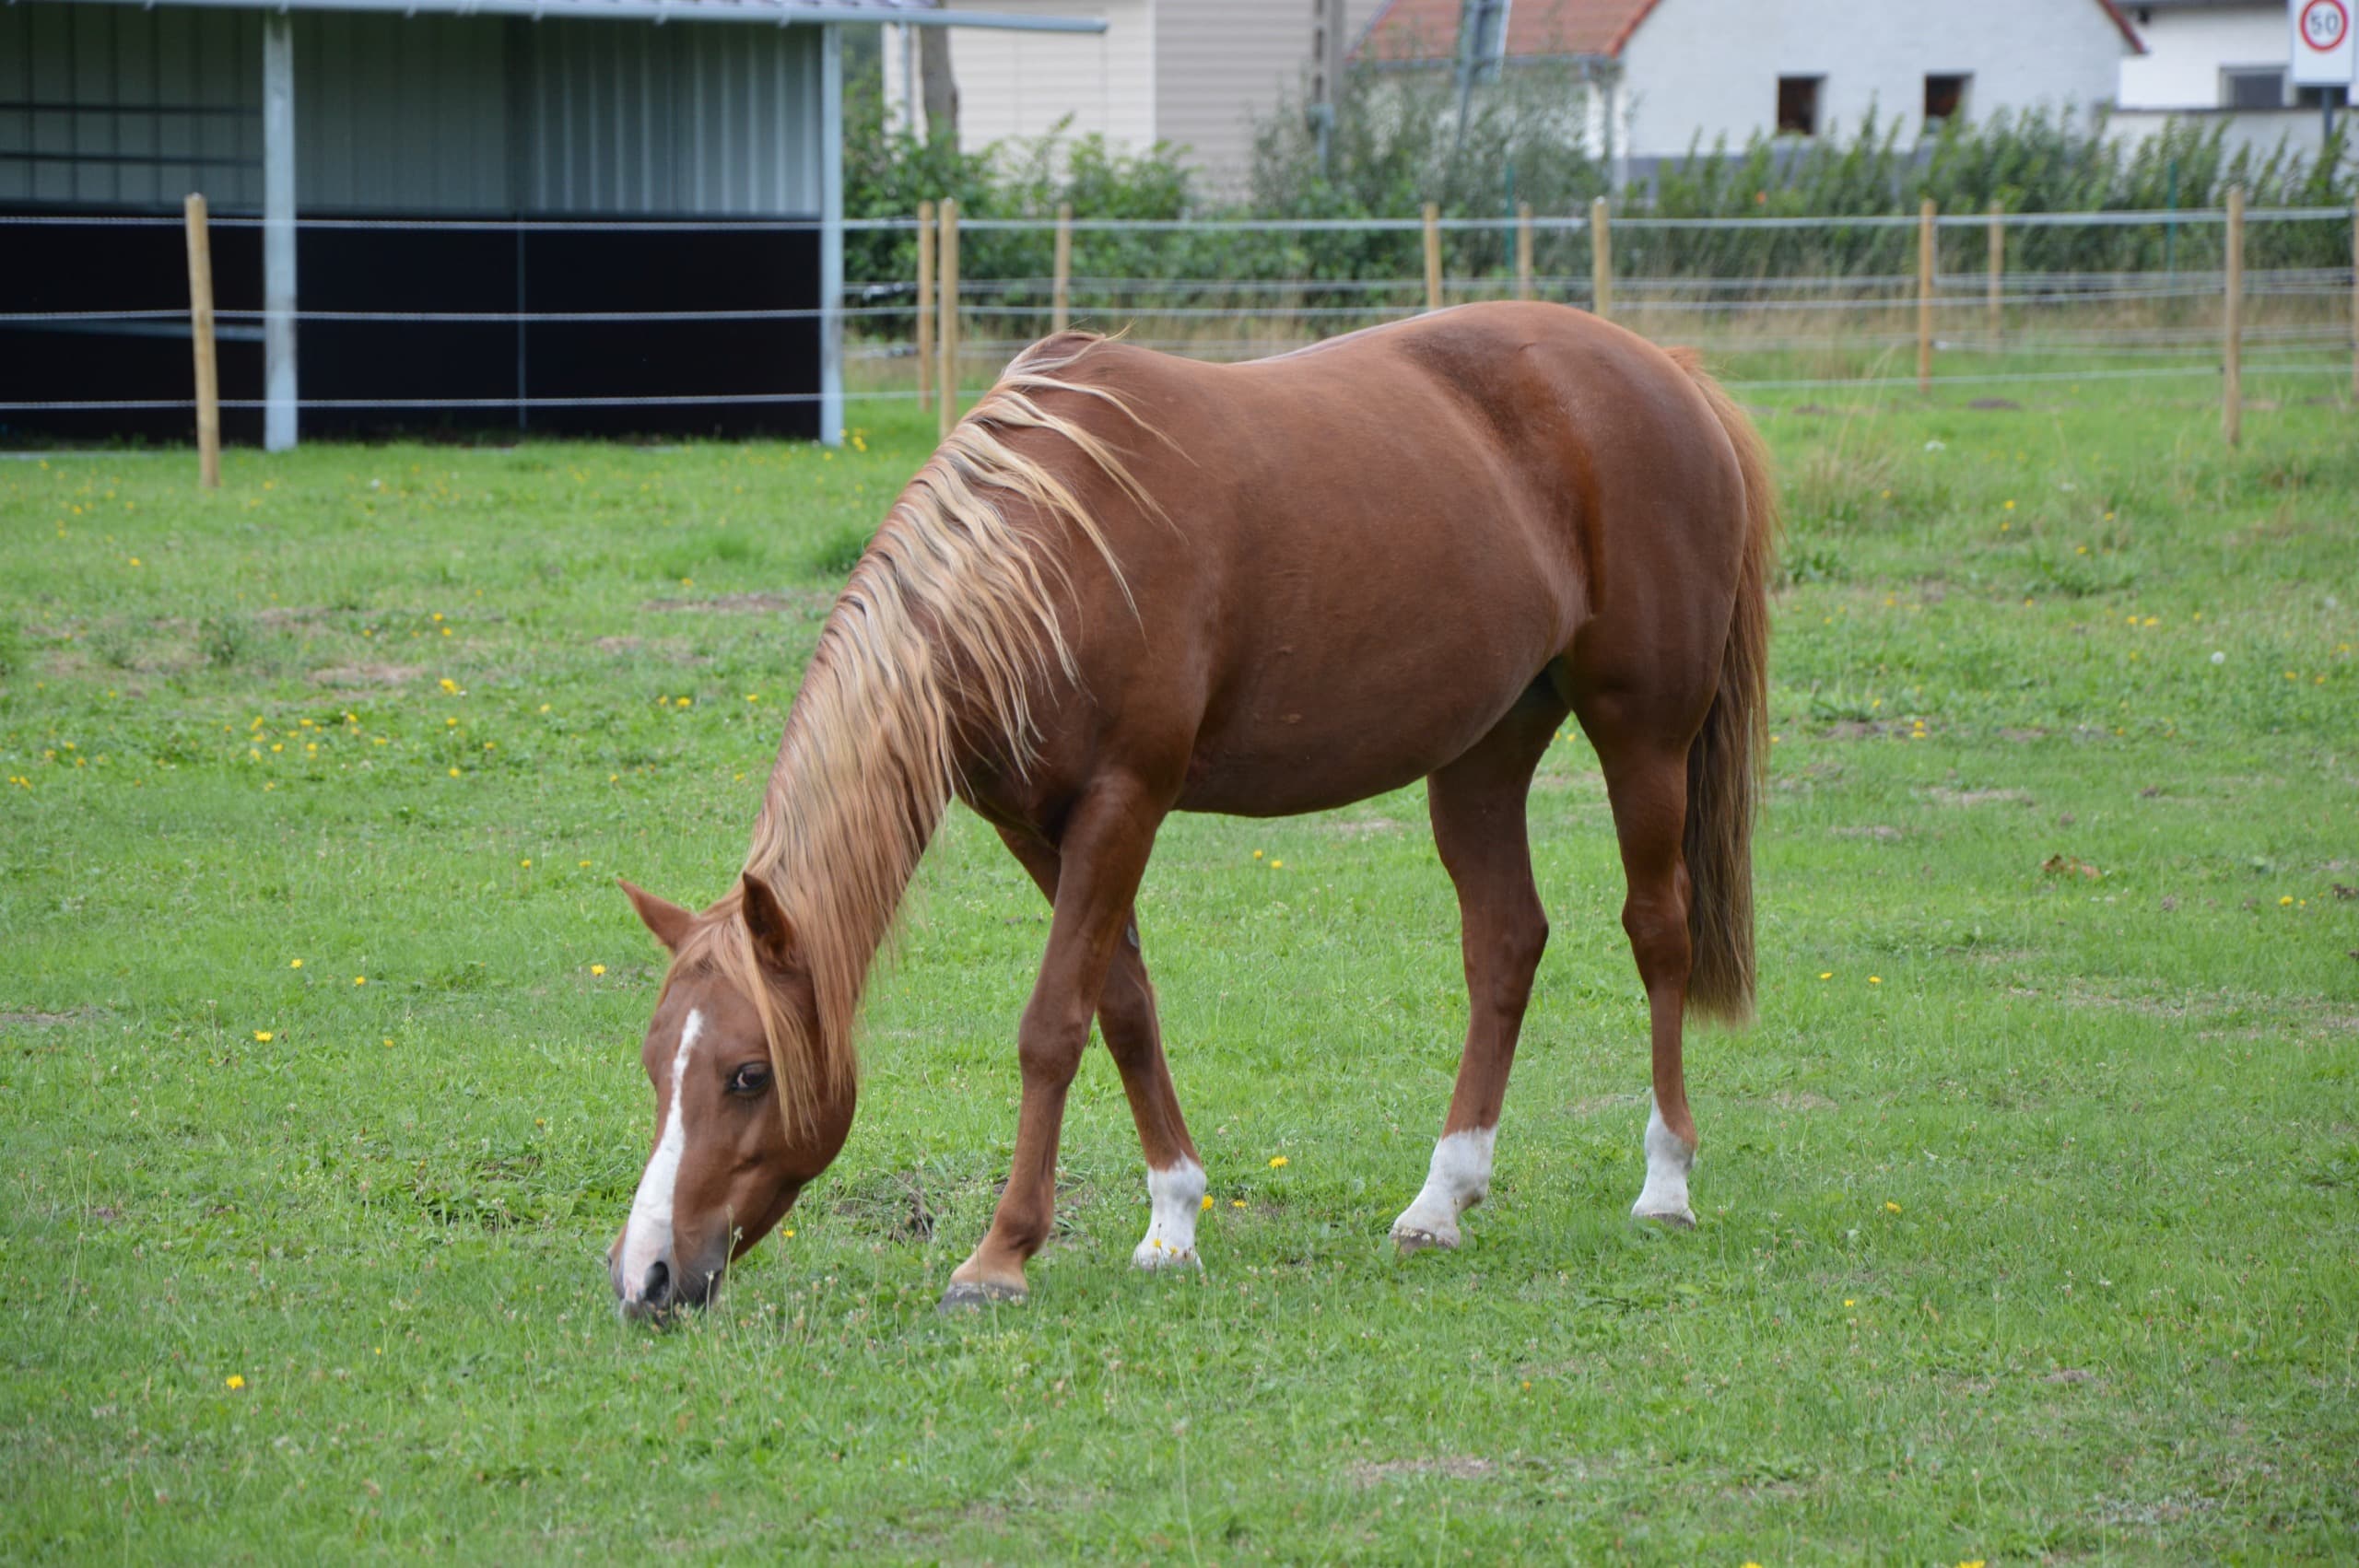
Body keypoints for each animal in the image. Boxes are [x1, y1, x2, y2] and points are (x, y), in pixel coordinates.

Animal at [605, 300, 1775, 1318]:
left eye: (748, 1074)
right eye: (656, 1061)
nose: (646, 1277)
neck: (1047, 553)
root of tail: (1671, 374)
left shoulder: (1125, 800)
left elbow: (1052, 1022)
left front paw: (999, 1255)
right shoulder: (1035, 824)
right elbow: (1123, 1005)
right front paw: (1172, 1221)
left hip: (1642, 737)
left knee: (1656, 932)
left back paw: (1665, 1180)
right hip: (1481, 754)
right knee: (1504, 943)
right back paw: (1440, 1200)